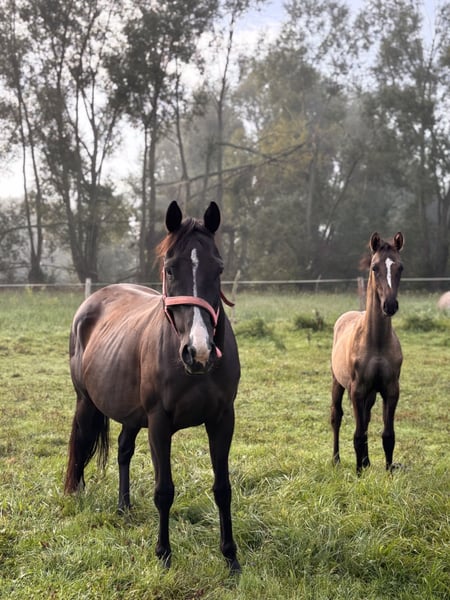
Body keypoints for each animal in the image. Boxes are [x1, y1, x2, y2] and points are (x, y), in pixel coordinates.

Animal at [64, 200, 241, 572]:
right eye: (170, 269)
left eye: (218, 269)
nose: (199, 352)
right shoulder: (159, 423)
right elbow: (164, 490)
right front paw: (164, 554)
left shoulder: (222, 420)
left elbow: (223, 488)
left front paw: (231, 557)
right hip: (86, 402)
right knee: (81, 446)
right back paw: (77, 493)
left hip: (131, 414)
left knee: (122, 449)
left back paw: (124, 506)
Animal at [330, 232, 404, 474]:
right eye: (374, 267)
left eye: (400, 267)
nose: (389, 305)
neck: (376, 342)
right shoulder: (357, 390)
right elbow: (358, 435)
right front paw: (359, 472)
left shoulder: (391, 390)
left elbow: (388, 435)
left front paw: (388, 472)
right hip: (338, 382)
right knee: (337, 416)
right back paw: (336, 459)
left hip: (371, 393)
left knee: (367, 418)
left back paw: (366, 461)